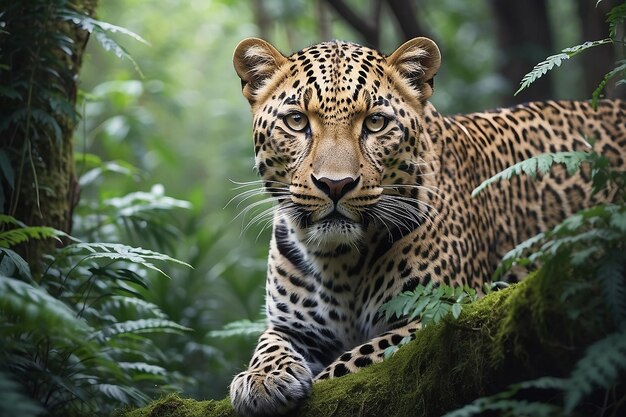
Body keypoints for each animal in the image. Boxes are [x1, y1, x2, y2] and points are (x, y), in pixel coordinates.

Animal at [228, 36, 624, 416]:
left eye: (375, 123)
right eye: (296, 121)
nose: (335, 184)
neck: (339, 260)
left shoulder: (439, 312)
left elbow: (353, 365)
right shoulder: (295, 328)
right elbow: (268, 343)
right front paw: (261, 380)